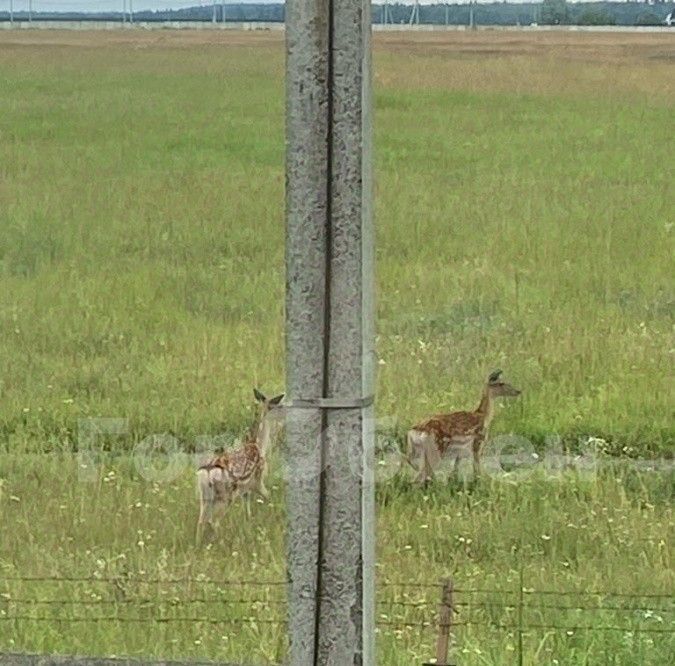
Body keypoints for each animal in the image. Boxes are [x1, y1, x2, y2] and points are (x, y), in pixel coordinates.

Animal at [194, 390, 284, 540]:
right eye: (279, 406)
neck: (259, 445)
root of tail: (206, 472)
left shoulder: (245, 490)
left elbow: (247, 511)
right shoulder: (258, 480)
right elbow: (268, 496)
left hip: (205, 496)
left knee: (201, 521)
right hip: (226, 495)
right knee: (214, 521)